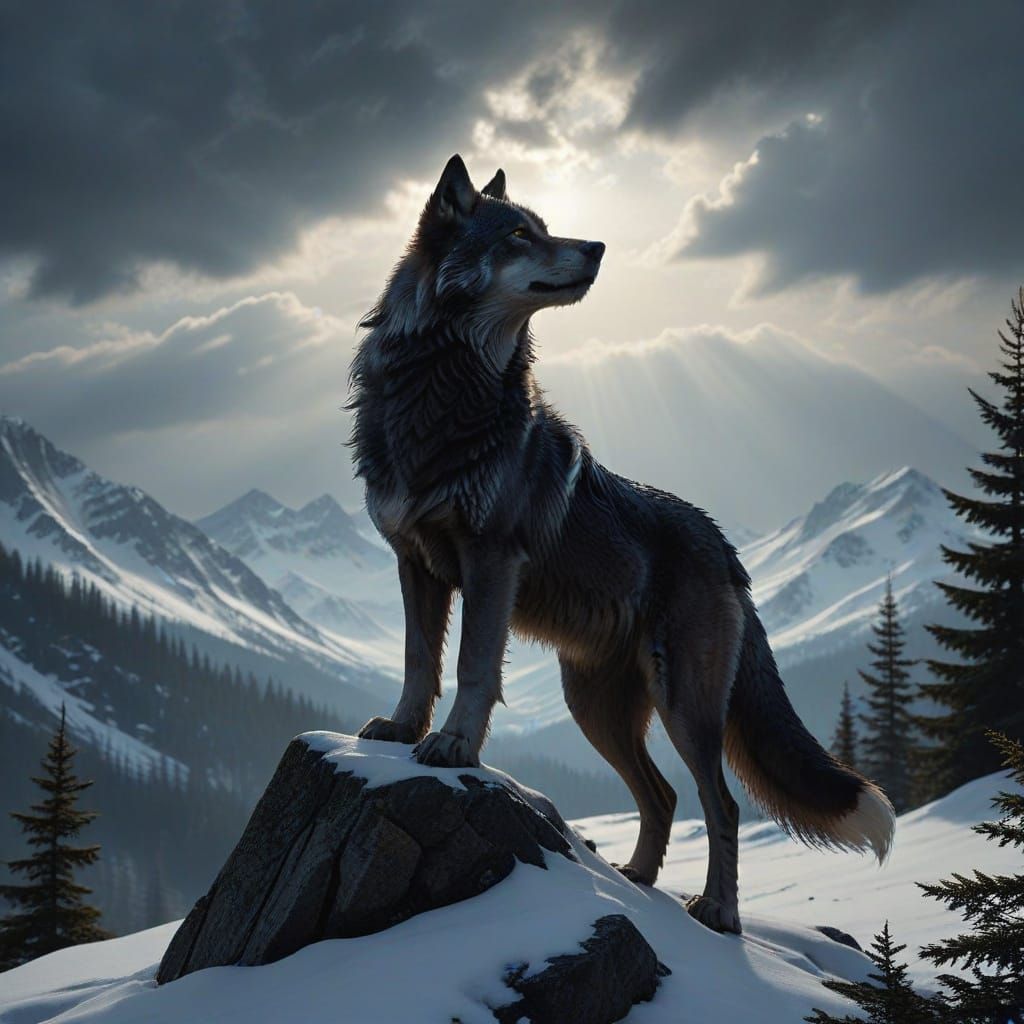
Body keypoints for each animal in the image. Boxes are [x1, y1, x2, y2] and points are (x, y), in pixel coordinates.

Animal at [348, 154, 894, 933]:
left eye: (545, 229)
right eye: (519, 235)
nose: (599, 247)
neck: (443, 389)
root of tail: (727, 550)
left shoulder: (490, 561)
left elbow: (473, 666)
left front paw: (452, 746)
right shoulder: (414, 563)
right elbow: (419, 659)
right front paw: (398, 729)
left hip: (684, 706)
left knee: (720, 804)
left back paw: (717, 911)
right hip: (595, 707)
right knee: (662, 795)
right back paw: (636, 877)